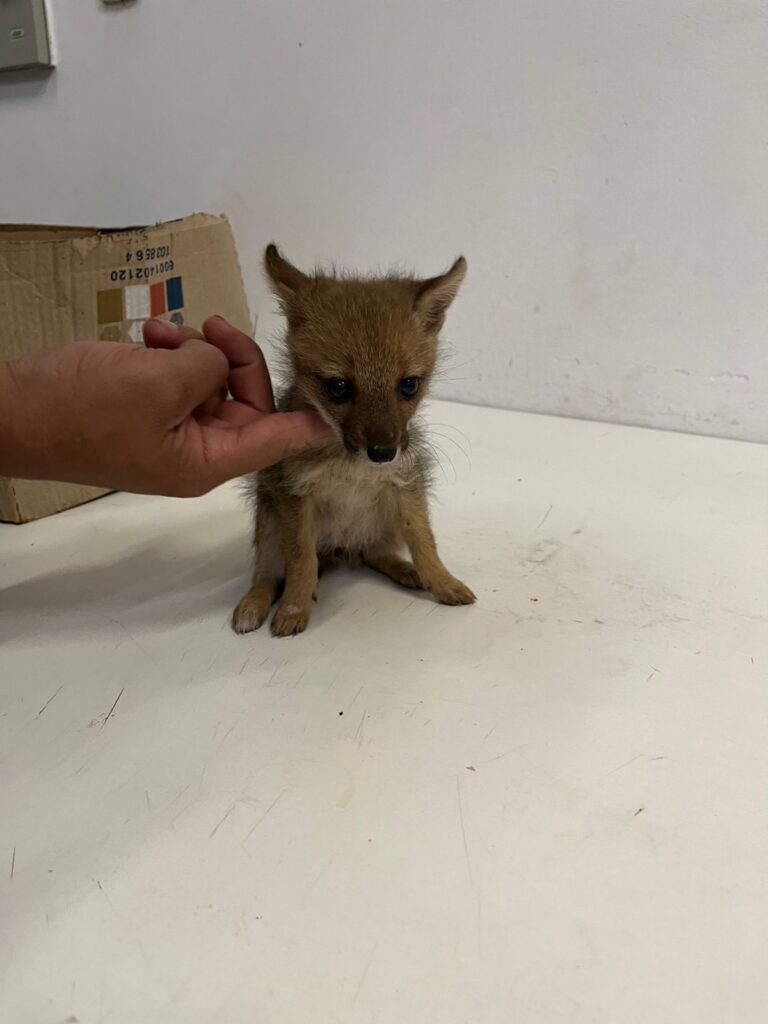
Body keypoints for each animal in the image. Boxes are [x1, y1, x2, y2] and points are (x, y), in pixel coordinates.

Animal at [232, 244, 476, 638]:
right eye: (338, 387)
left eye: (409, 385)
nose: (383, 453)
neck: (351, 468)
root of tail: (339, 547)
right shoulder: (295, 494)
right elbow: (301, 561)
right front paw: (294, 608)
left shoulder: (405, 486)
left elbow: (425, 543)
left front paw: (443, 582)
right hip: (268, 525)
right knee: (267, 575)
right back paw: (254, 603)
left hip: (381, 523)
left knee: (372, 552)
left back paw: (408, 572)